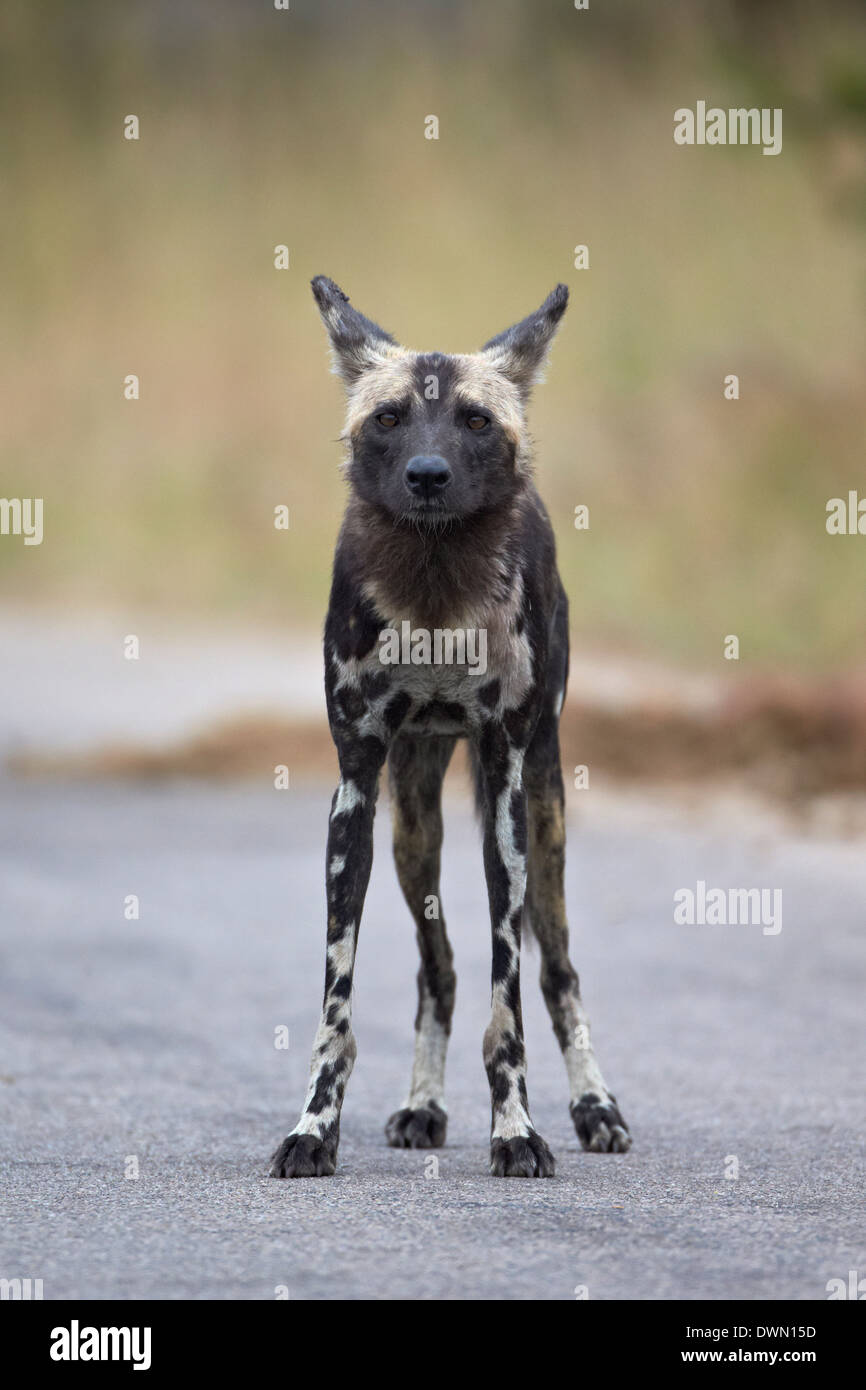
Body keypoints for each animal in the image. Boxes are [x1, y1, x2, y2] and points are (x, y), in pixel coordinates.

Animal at [271, 276, 631, 1178]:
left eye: (473, 420)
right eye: (390, 417)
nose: (428, 475)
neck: (434, 593)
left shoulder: (506, 795)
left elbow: (512, 1008)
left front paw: (517, 1132)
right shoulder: (356, 794)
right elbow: (337, 1012)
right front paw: (314, 1129)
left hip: (544, 816)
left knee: (560, 972)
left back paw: (596, 1107)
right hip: (413, 829)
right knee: (439, 972)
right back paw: (423, 1106)